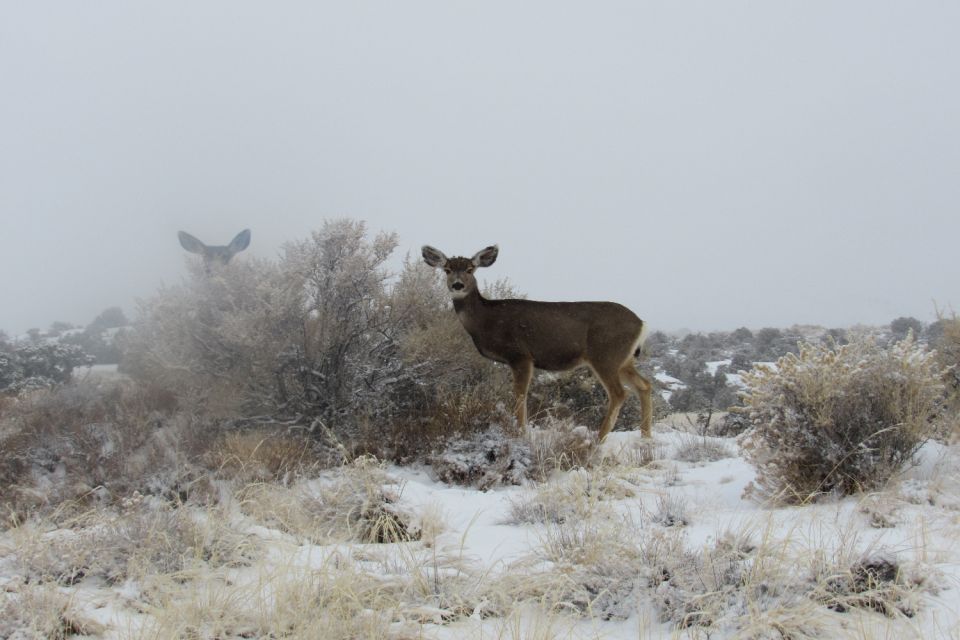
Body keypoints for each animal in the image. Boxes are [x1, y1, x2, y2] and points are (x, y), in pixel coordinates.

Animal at [420, 245, 652, 440]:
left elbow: (520, 395)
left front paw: (521, 433)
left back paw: (598, 441)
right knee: (644, 385)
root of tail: (641, 323)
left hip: (605, 355)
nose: (457, 285)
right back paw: (645, 437)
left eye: (470, 269)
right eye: (447, 269)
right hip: (623, 360)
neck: (486, 321)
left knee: (619, 393)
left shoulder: (520, 354)